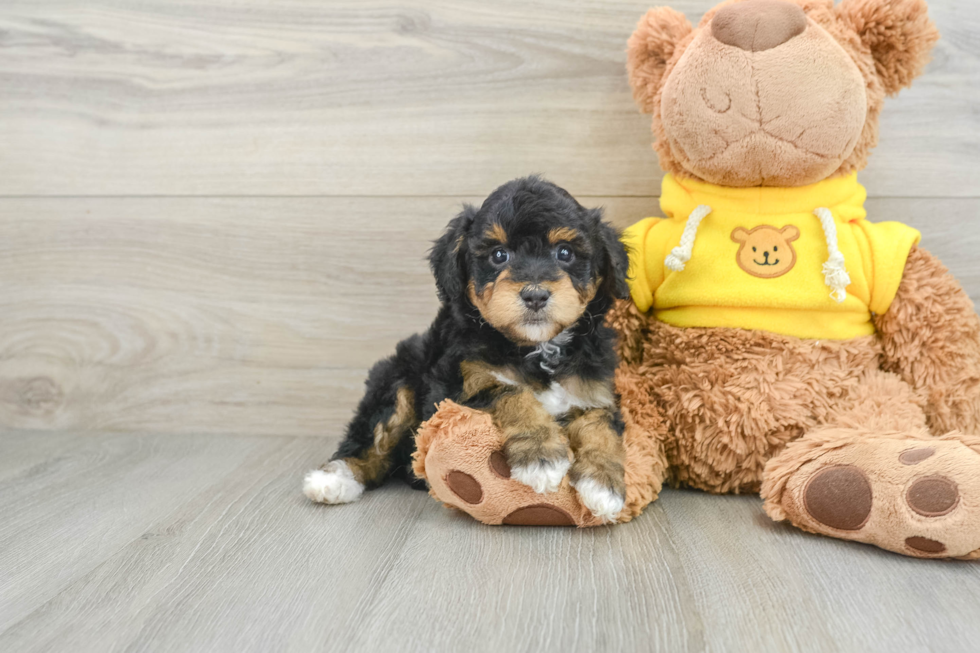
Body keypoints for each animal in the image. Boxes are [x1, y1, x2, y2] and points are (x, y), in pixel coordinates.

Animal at [302, 176, 632, 524]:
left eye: (565, 252)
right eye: (499, 255)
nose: (535, 295)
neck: (536, 348)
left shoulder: (594, 393)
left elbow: (601, 428)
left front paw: (603, 485)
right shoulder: (461, 386)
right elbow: (511, 392)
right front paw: (540, 457)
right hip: (397, 378)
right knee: (372, 437)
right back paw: (333, 479)